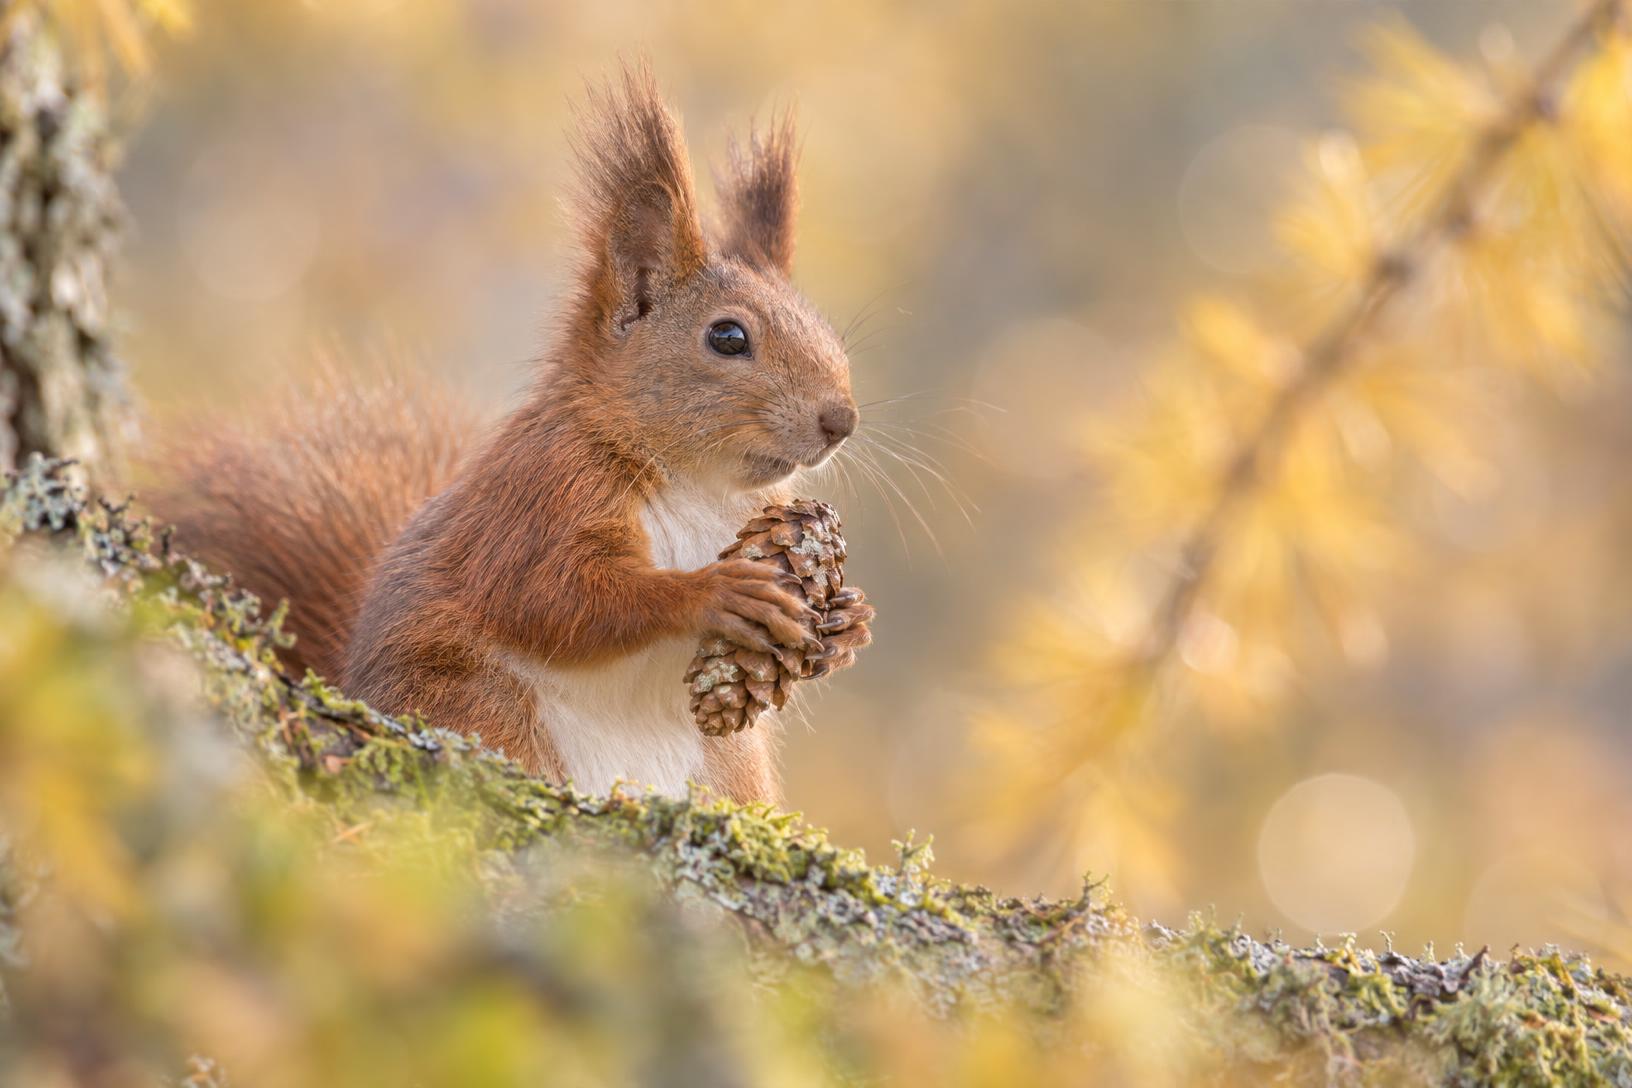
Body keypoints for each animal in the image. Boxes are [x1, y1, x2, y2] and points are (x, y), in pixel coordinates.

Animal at [148, 67, 874, 805]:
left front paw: (847, 621)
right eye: (727, 337)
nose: (840, 421)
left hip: (730, 772)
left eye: (821, 326)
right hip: (481, 704)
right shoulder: (539, 496)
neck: (702, 484)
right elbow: (554, 597)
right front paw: (715, 593)